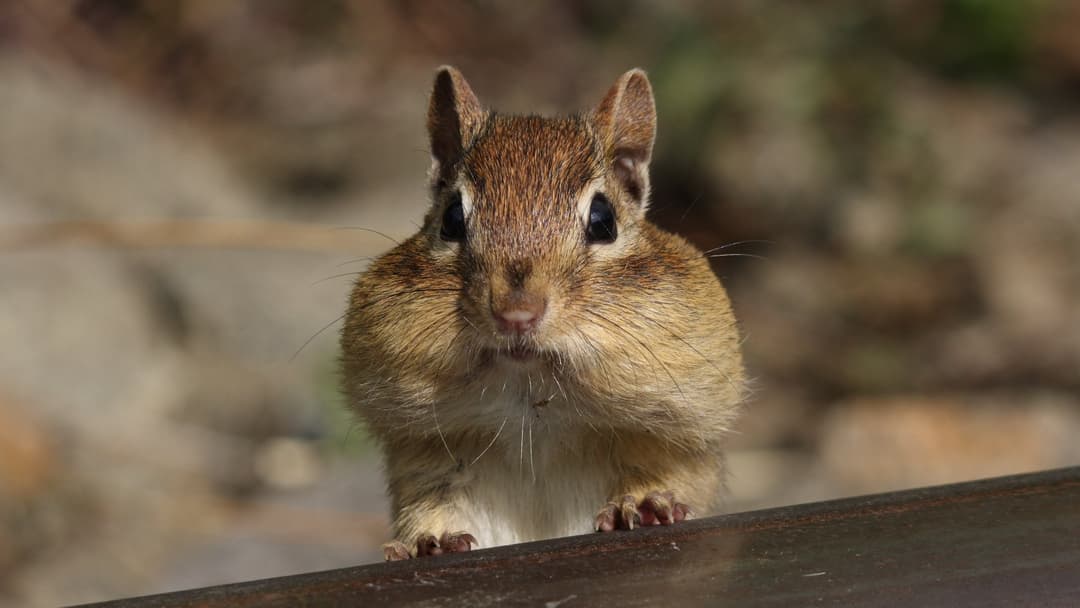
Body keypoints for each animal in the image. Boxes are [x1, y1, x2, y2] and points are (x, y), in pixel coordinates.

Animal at [341, 66, 745, 560]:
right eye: (452, 218)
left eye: (603, 220)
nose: (516, 315)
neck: (533, 395)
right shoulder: (429, 460)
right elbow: (433, 505)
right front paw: (428, 541)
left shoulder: (673, 437)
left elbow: (665, 475)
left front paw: (644, 504)